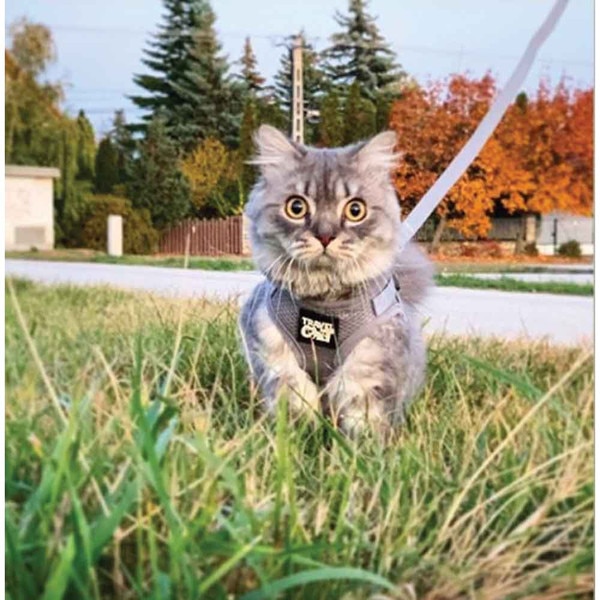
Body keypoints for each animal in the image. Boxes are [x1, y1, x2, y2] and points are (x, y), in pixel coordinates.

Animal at [239, 125, 433, 437]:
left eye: (355, 210)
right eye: (296, 207)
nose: (325, 235)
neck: (324, 307)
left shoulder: (370, 365)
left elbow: (363, 419)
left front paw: (360, 447)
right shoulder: (271, 353)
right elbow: (293, 399)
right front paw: (299, 435)